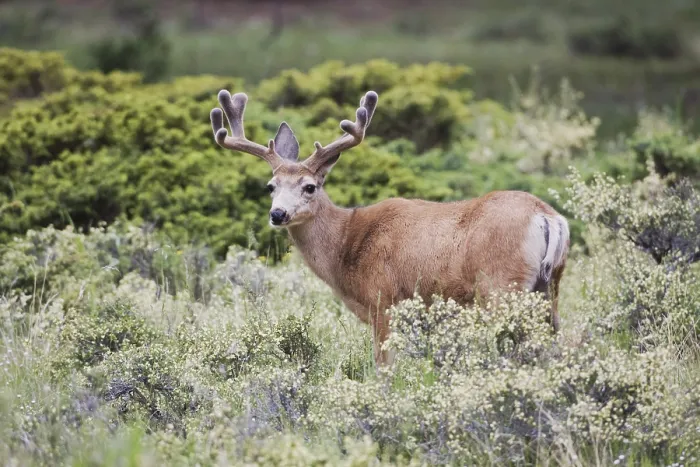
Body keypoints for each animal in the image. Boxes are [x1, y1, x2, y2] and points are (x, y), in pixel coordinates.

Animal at [210, 89, 570, 365]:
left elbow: (384, 368)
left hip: (501, 287)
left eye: (309, 187)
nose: (278, 214)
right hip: (549, 287)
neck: (346, 244)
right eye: (271, 186)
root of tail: (547, 217)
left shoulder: (383, 301)